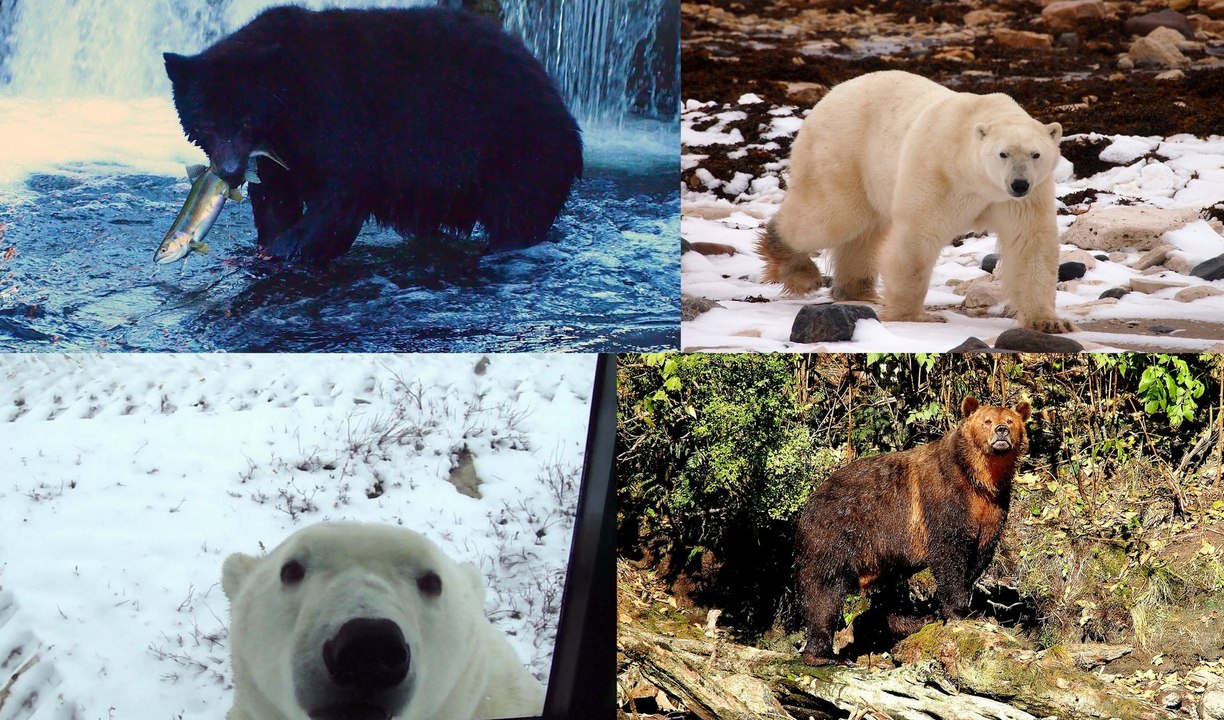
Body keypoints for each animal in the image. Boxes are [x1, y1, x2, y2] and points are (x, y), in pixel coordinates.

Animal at [164, 6, 583, 266]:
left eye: (247, 119)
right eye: (206, 124)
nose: (230, 171)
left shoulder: (339, 117)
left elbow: (343, 190)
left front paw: (288, 248)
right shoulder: (279, 152)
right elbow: (276, 195)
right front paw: (271, 239)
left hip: (520, 150)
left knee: (518, 213)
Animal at [757, 70, 1075, 334]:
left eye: (1035, 154)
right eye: (1003, 153)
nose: (1019, 184)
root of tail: (831, 93)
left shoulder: (1025, 198)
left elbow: (1030, 244)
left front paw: (1049, 321)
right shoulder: (937, 172)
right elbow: (918, 237)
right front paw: (915, 316)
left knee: (864, 230)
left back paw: (859, 291)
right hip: (843, 151)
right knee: (834, 217)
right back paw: (798, 269)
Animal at [794, 396, 1031, 666]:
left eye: (1010, 420)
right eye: (987, 421)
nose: (1001, 431)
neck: (979, 480)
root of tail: (810, 502)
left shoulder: (993, 510)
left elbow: (978, 557)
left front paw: (959, 607)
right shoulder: (944, 500)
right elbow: (950, 554)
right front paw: (960, 610)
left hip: (882, 559)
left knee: (889, 596)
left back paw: (912, 621)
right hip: (836, 536)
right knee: (823, 591)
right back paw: (823, 655)